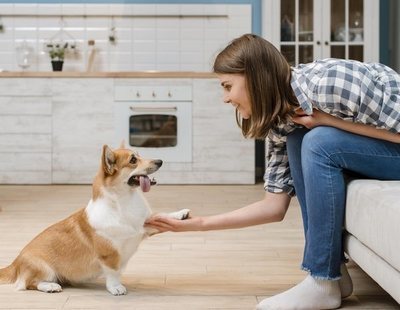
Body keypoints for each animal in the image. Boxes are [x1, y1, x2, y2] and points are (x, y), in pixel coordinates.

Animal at [0, 145, 190, 296]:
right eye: (133, 160)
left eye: (139, 155)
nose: (160, 161)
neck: (123, 201)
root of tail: (15, 262)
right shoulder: (109, 254)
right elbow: (113, 273)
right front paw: (116, 288)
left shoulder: (143, 227)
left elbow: (162, 215)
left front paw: (181, 214)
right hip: (43, 268)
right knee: (28, 284)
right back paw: (50, 287)